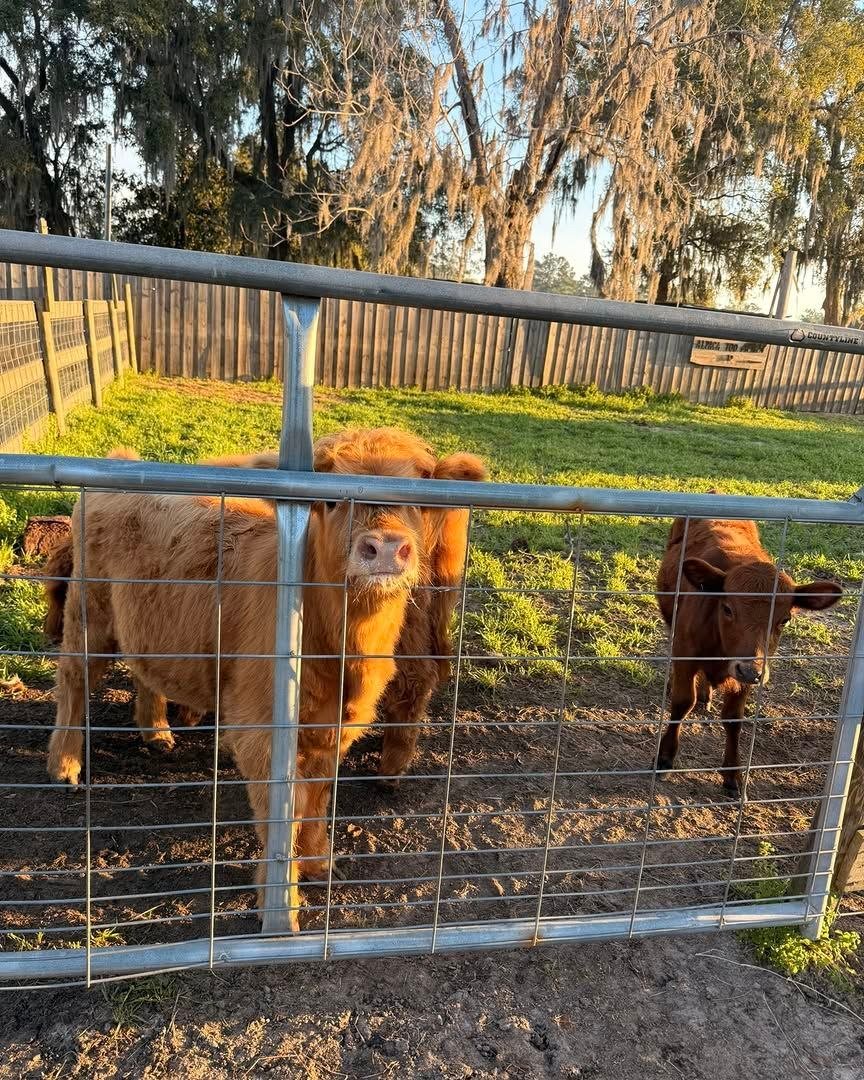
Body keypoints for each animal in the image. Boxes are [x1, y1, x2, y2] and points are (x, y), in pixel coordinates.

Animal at [46, 428, 486, 928]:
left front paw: (318, 862)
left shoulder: (332, 729)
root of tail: (123, 461)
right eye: (329, 501)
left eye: (418, 496)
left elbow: (316, 799)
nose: (385, 548)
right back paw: (65, 765)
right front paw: (282, 904)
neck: (338, 649)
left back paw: (156, 731)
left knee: (144, 672)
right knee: (74, 679)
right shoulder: (262, 733)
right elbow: (283, 816)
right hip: (89, 613)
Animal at [655, 516, 842, 795]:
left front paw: (732, 774)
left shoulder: (744, 677)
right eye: (727, 608)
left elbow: (734, 719)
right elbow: (682, 702)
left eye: (784, 619)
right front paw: (665, 757)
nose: (751, 670)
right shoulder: (685, 653)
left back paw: (706, 694)